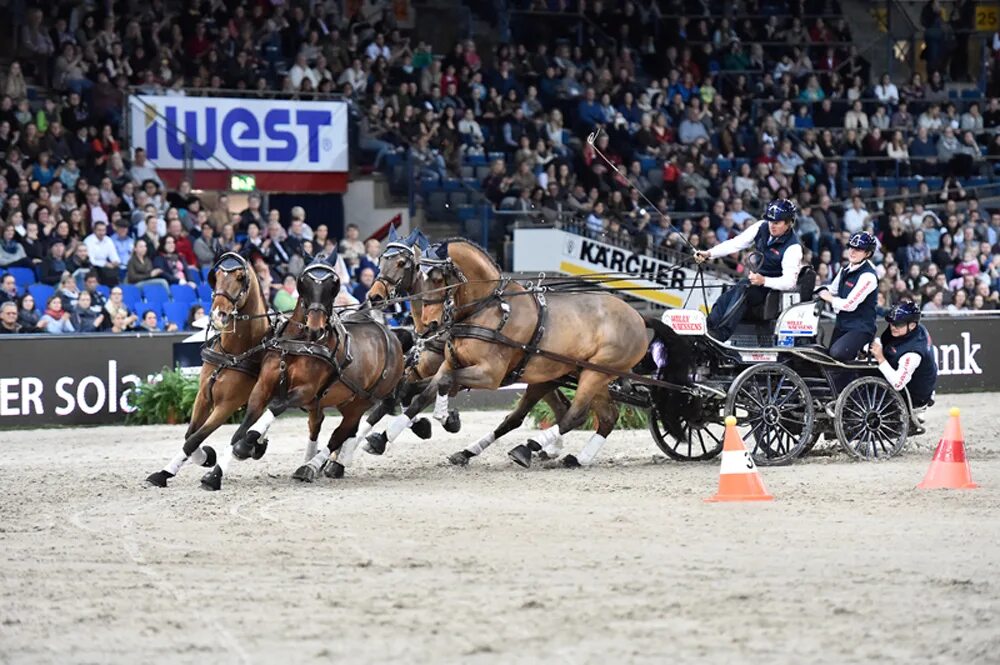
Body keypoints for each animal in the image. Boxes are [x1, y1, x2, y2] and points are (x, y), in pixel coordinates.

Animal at [145, 252, 274, 486]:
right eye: (217, 276)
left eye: (240, 277)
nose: (219, 314)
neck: (232, 354)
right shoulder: (203, 396)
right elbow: (190, 436)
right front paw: (202, 458)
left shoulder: (226, 406)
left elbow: (195, 438)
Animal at [199, 262, 406, 490]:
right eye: (304, 285)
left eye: (332, 288)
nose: (315, 327)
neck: (299, 343)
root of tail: (391, 336)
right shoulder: (263, 386)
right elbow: (242, 427)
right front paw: (215, 475)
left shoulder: (305, 391)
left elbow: (275, 408)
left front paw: (247, 444)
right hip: (341, 400)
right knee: (324, 427)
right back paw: (324, 464)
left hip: (361, 401)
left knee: (340, 433)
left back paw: (312, 466)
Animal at [366, 239, 648, 466]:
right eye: (382, 261)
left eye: (435, 276)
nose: (374, 297)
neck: (486, 308)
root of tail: (638, 318)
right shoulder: (449, 363)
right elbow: (418, 392)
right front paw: (383, 437)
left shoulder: (489, 375)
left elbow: (435, 387)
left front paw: (444, 418)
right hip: (577, 375)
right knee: (602, 416)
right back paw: (573, 457)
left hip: (594, 374)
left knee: (575, 414)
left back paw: (530, 447)